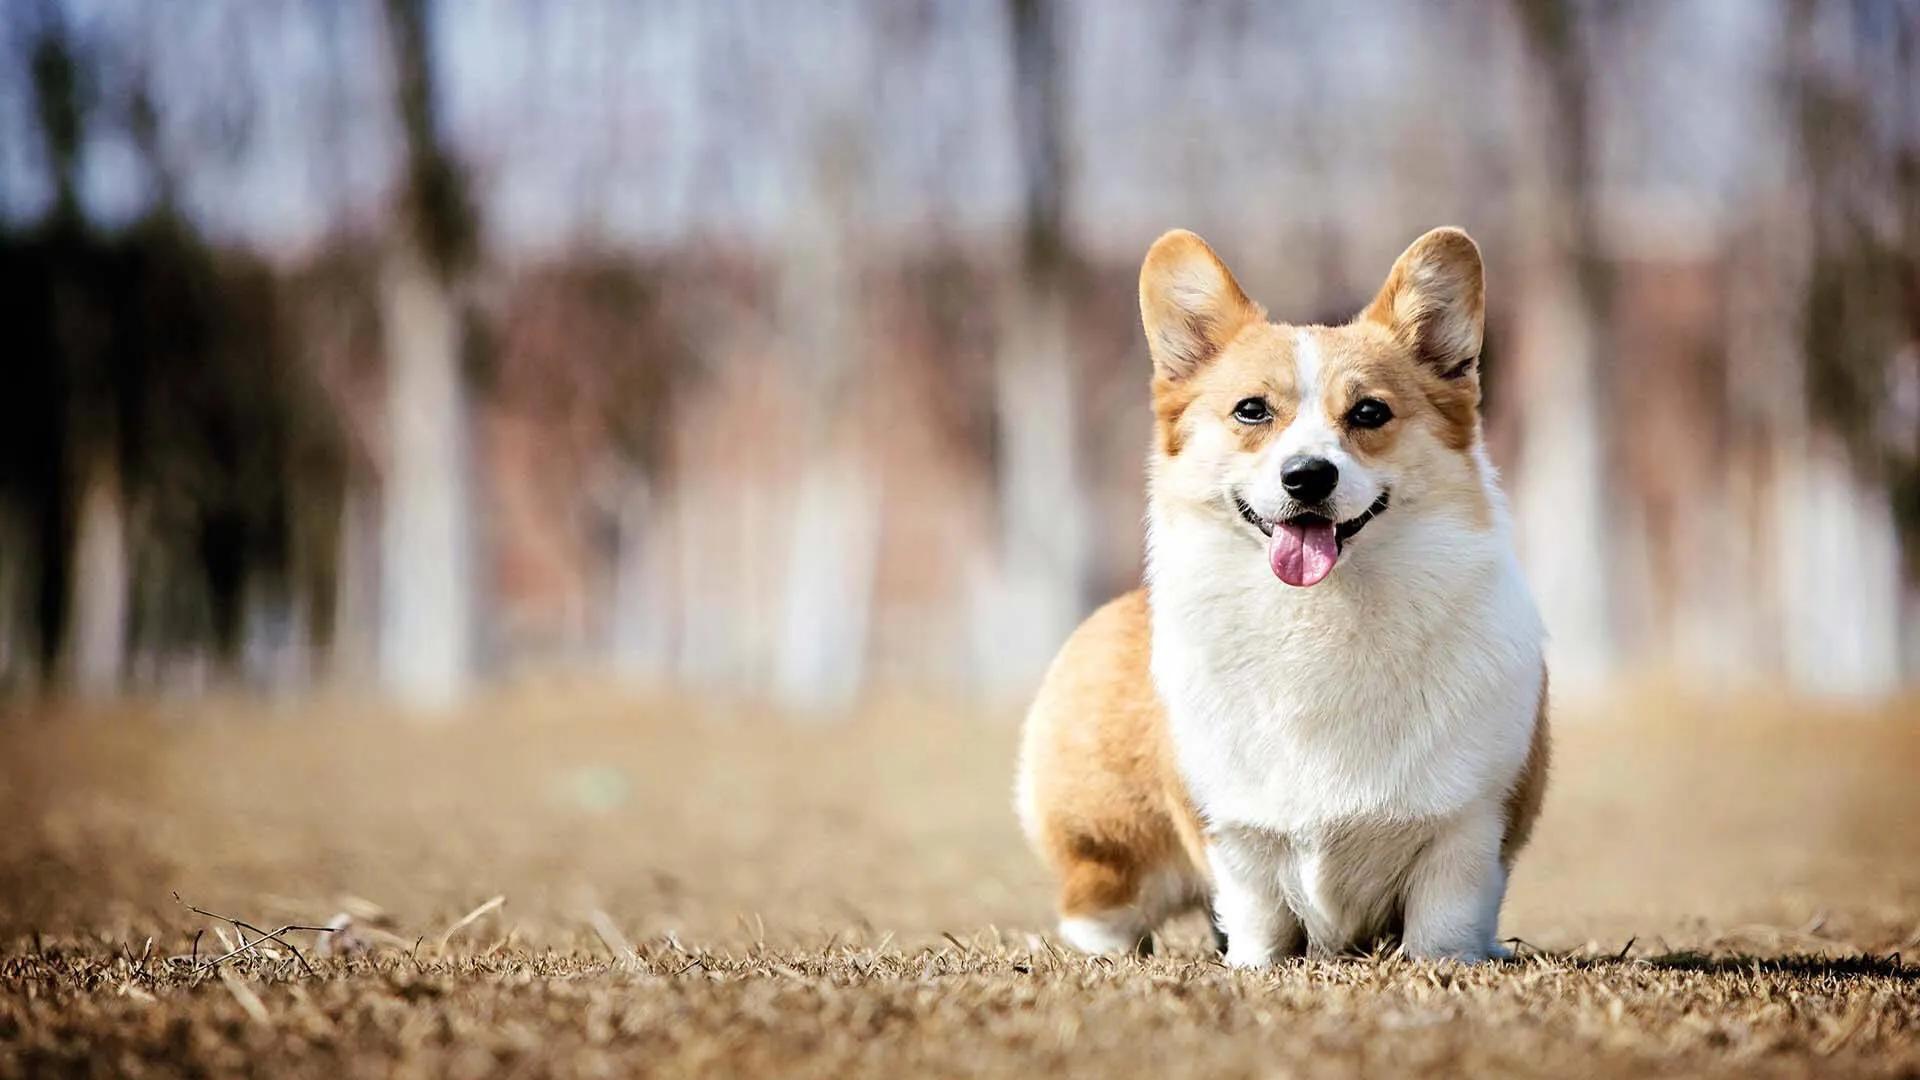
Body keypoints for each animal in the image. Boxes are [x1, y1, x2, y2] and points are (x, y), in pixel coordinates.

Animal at [1021, 224, 1543, 957]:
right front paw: (1252, 965)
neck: (1322, 614)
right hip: (1111, 854)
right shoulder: (1235, 833)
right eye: (1251, 410)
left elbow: (1446, 920)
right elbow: (1259, 914)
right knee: (1100, 910)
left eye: (1370, 411)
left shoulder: (1468, 827)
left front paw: (1453, 960)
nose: (1306, 476)